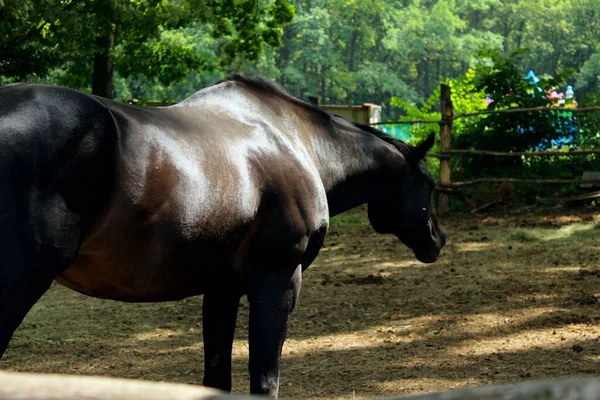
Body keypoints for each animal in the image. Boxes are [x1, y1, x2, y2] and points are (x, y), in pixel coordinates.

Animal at [1, 76, 446, 396]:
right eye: (427, 185)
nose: (438, 240)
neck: (296, 142)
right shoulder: (279, 279)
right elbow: (264, 379)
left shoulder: (221, 288)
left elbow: (217, 377)